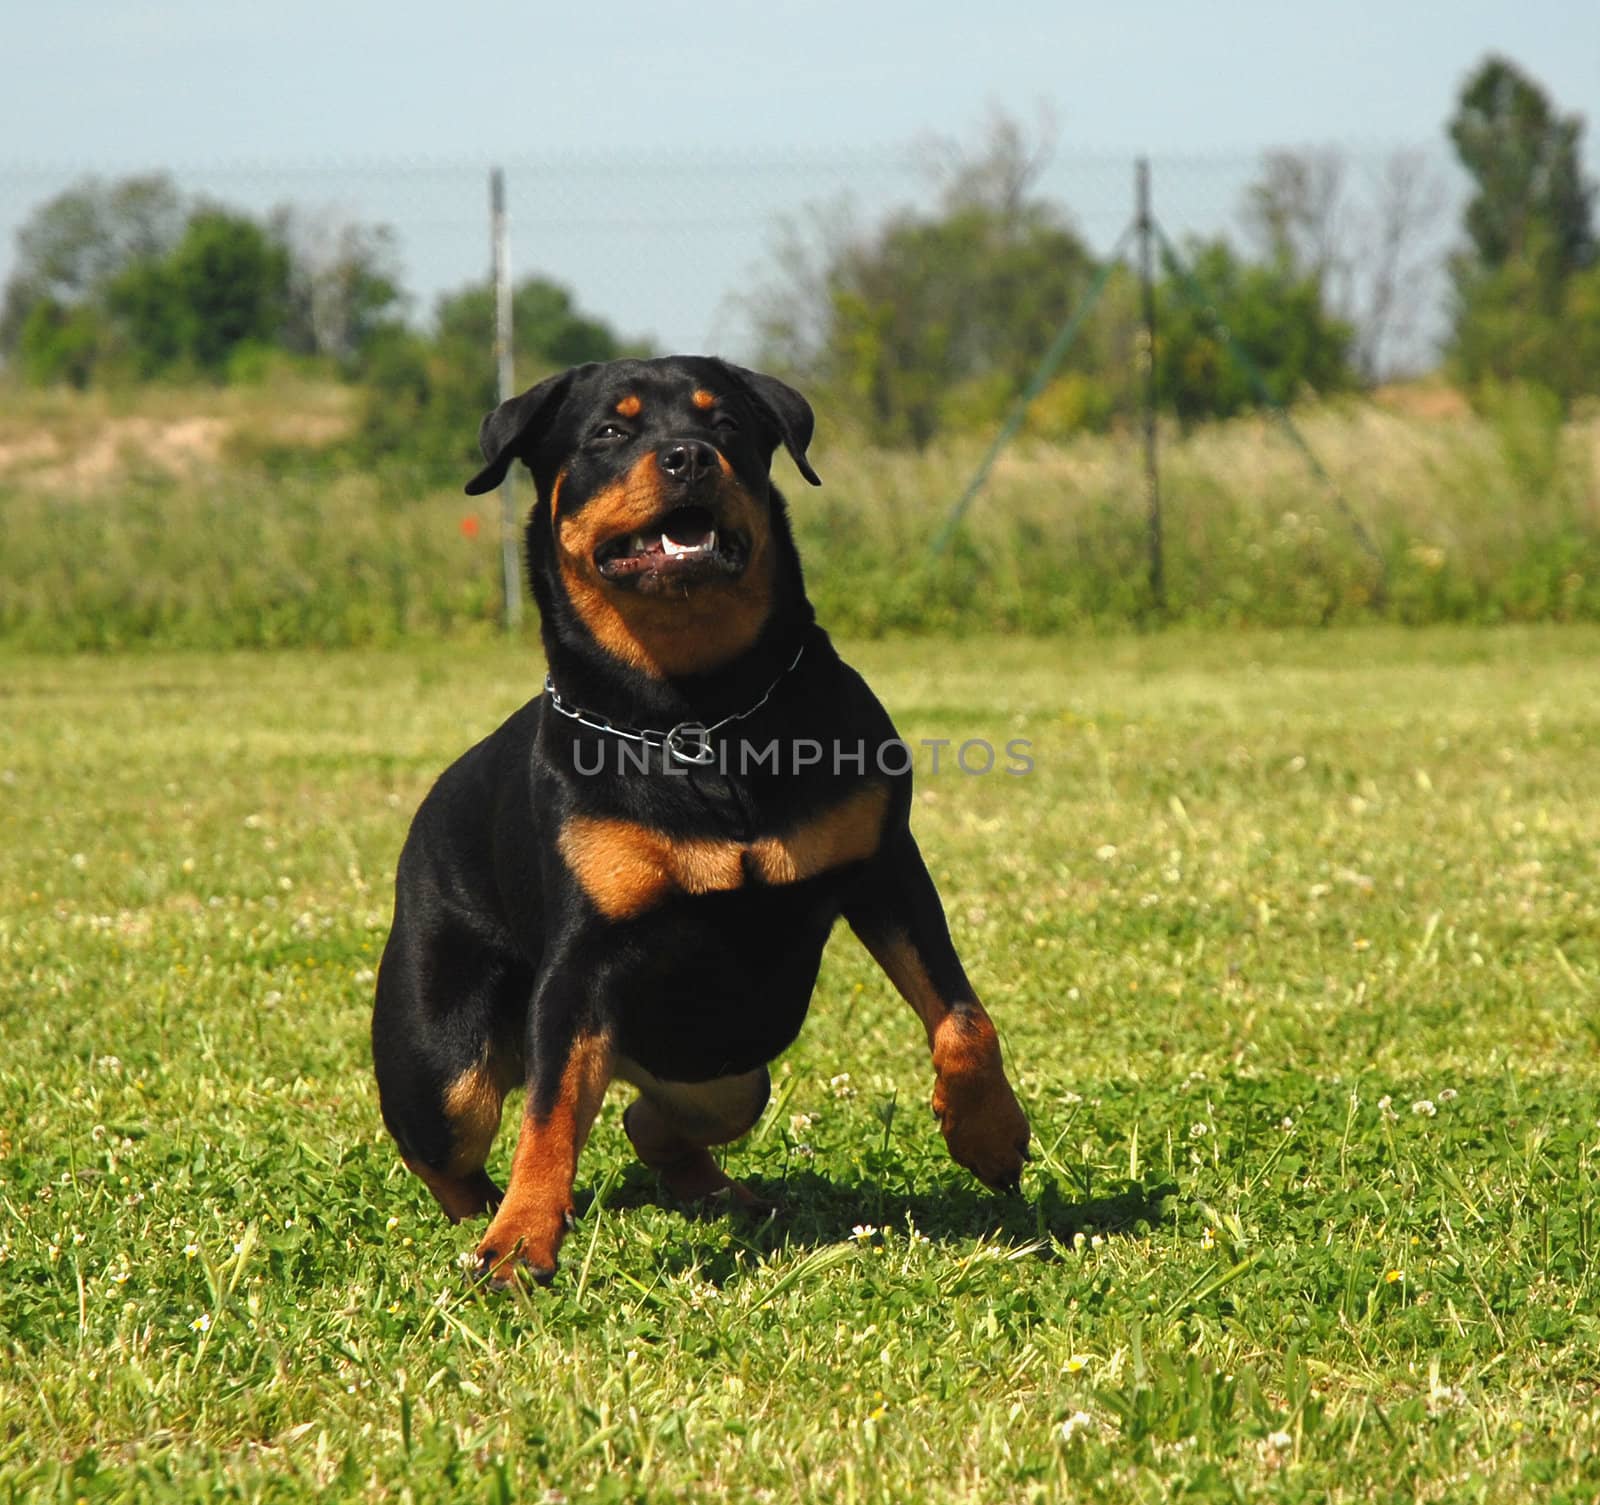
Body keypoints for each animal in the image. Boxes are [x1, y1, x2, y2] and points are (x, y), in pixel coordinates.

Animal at [369, 355, 1030, 1279]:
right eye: (610, 430)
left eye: (725, 425)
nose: (687, 456)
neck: (696, 711)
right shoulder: (583, 954)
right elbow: (547, 1113)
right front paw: (521, 1239)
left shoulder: (886, 865)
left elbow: (963, 1017)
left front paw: (990, 1132)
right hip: (440, 1057)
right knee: (451, 1147)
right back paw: (482, 1221)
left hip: (727, 1067)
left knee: (652, 1119)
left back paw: (727, 1193)